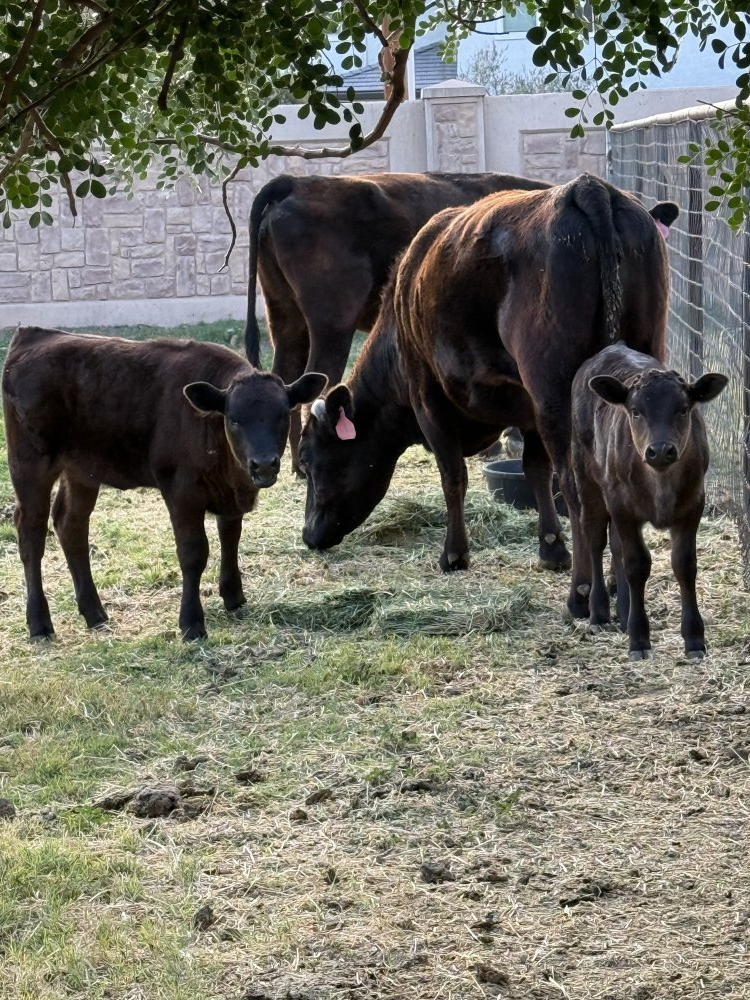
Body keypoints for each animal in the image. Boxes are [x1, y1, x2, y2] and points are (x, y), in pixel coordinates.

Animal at [2, 326, 326, 641]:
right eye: (234, 419)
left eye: (282, 414)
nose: (264, 463)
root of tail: (32, 335)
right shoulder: (181, 493)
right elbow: (193, 553)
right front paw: (192, 623)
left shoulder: (231, 496)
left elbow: (230, 537)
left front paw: (233, 597)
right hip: (30, 464)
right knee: (31, 534)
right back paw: (39, 624)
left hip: (82, 470)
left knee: (71, 526)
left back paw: (94, 613)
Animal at [243, 171, 552, 472]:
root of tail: (297, 183)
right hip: (333, 325)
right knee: (317, 376)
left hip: (285, 316)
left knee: (286, 376)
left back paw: (294, 463)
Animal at [300, 174, 679, 603]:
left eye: (307, 462)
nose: (309, 536)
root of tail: (585, 186)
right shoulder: (526, 409)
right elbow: (534, 470)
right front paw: (551, 549)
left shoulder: (428, 399)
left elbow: (453, 476)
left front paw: (454, 555)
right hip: (638, 359)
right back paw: (618, 583)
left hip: (554, 390)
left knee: (576, 485)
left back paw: (583, 589)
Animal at [571, 343, 727, 660]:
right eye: (635, 411)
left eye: (683, 409)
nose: (661, 450)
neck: (660, 481)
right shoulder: (622, 506)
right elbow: (636, 564)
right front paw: (639, 639)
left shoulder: (693, 504)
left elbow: (684, 564)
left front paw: (694, 639)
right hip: (587, 479)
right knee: (595, 539)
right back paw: (599, 613)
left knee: (615, 546)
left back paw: (624, 611)